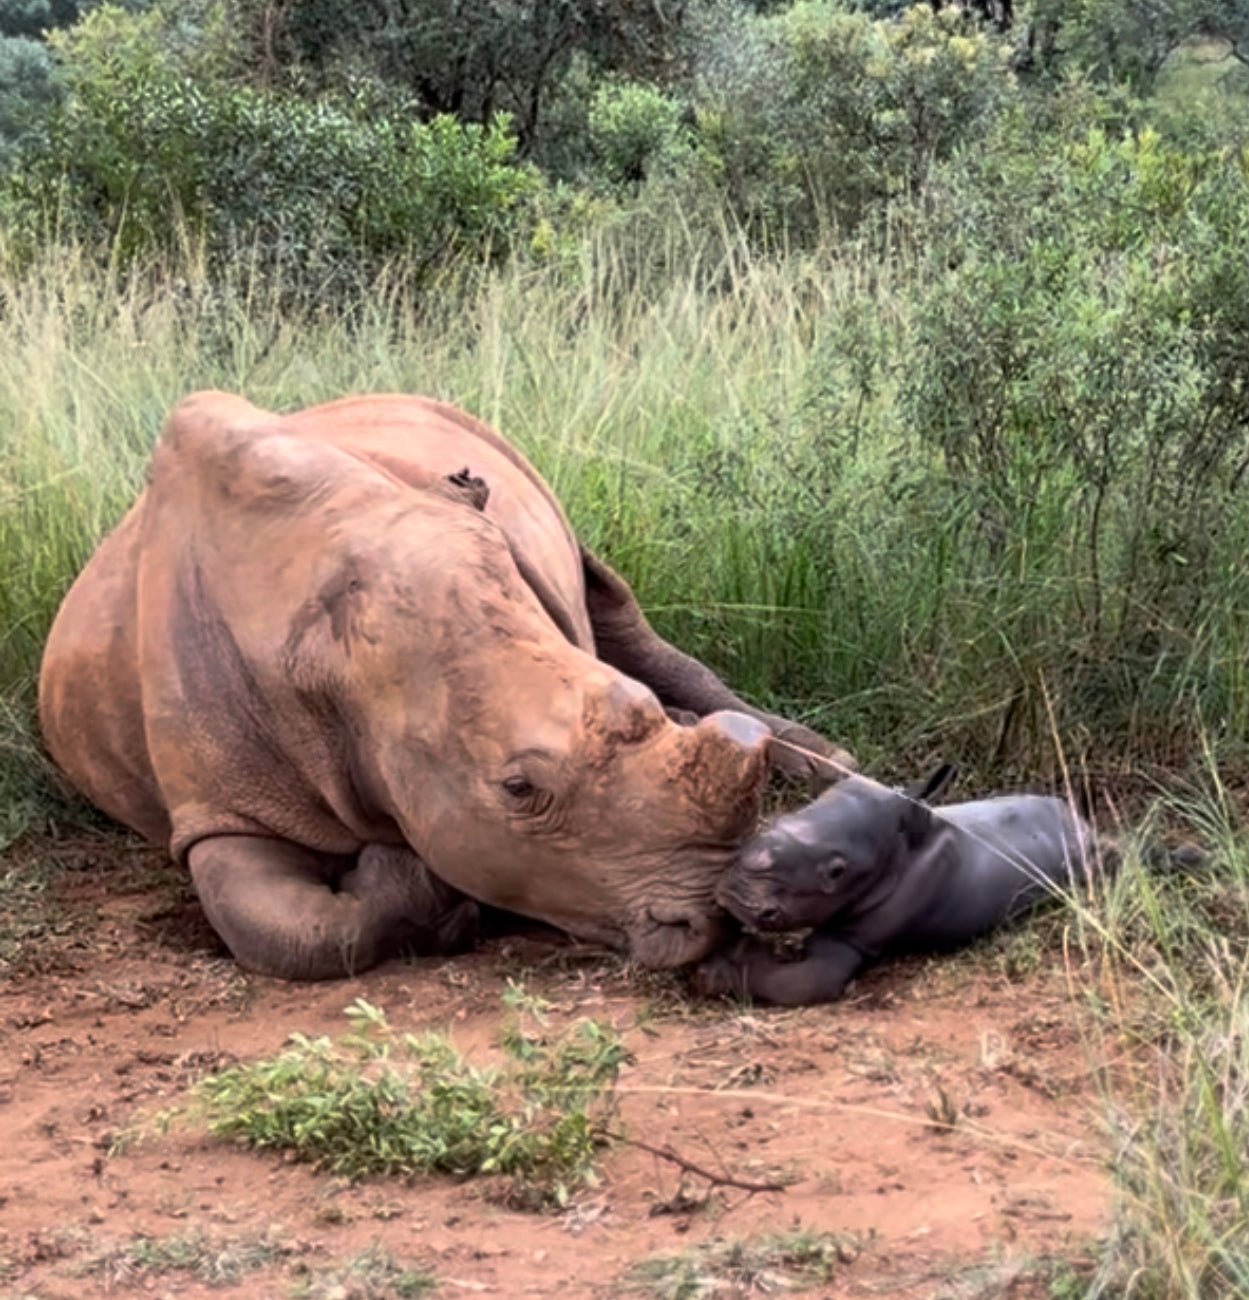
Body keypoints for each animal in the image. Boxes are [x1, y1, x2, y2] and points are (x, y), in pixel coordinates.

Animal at [39, 391, 851, 980]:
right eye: (518, 788)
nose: (709, 912)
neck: (323, 662)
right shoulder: (220, 810)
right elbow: (289, 932)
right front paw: (418, 884)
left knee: (617, 608)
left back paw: (830, 764)